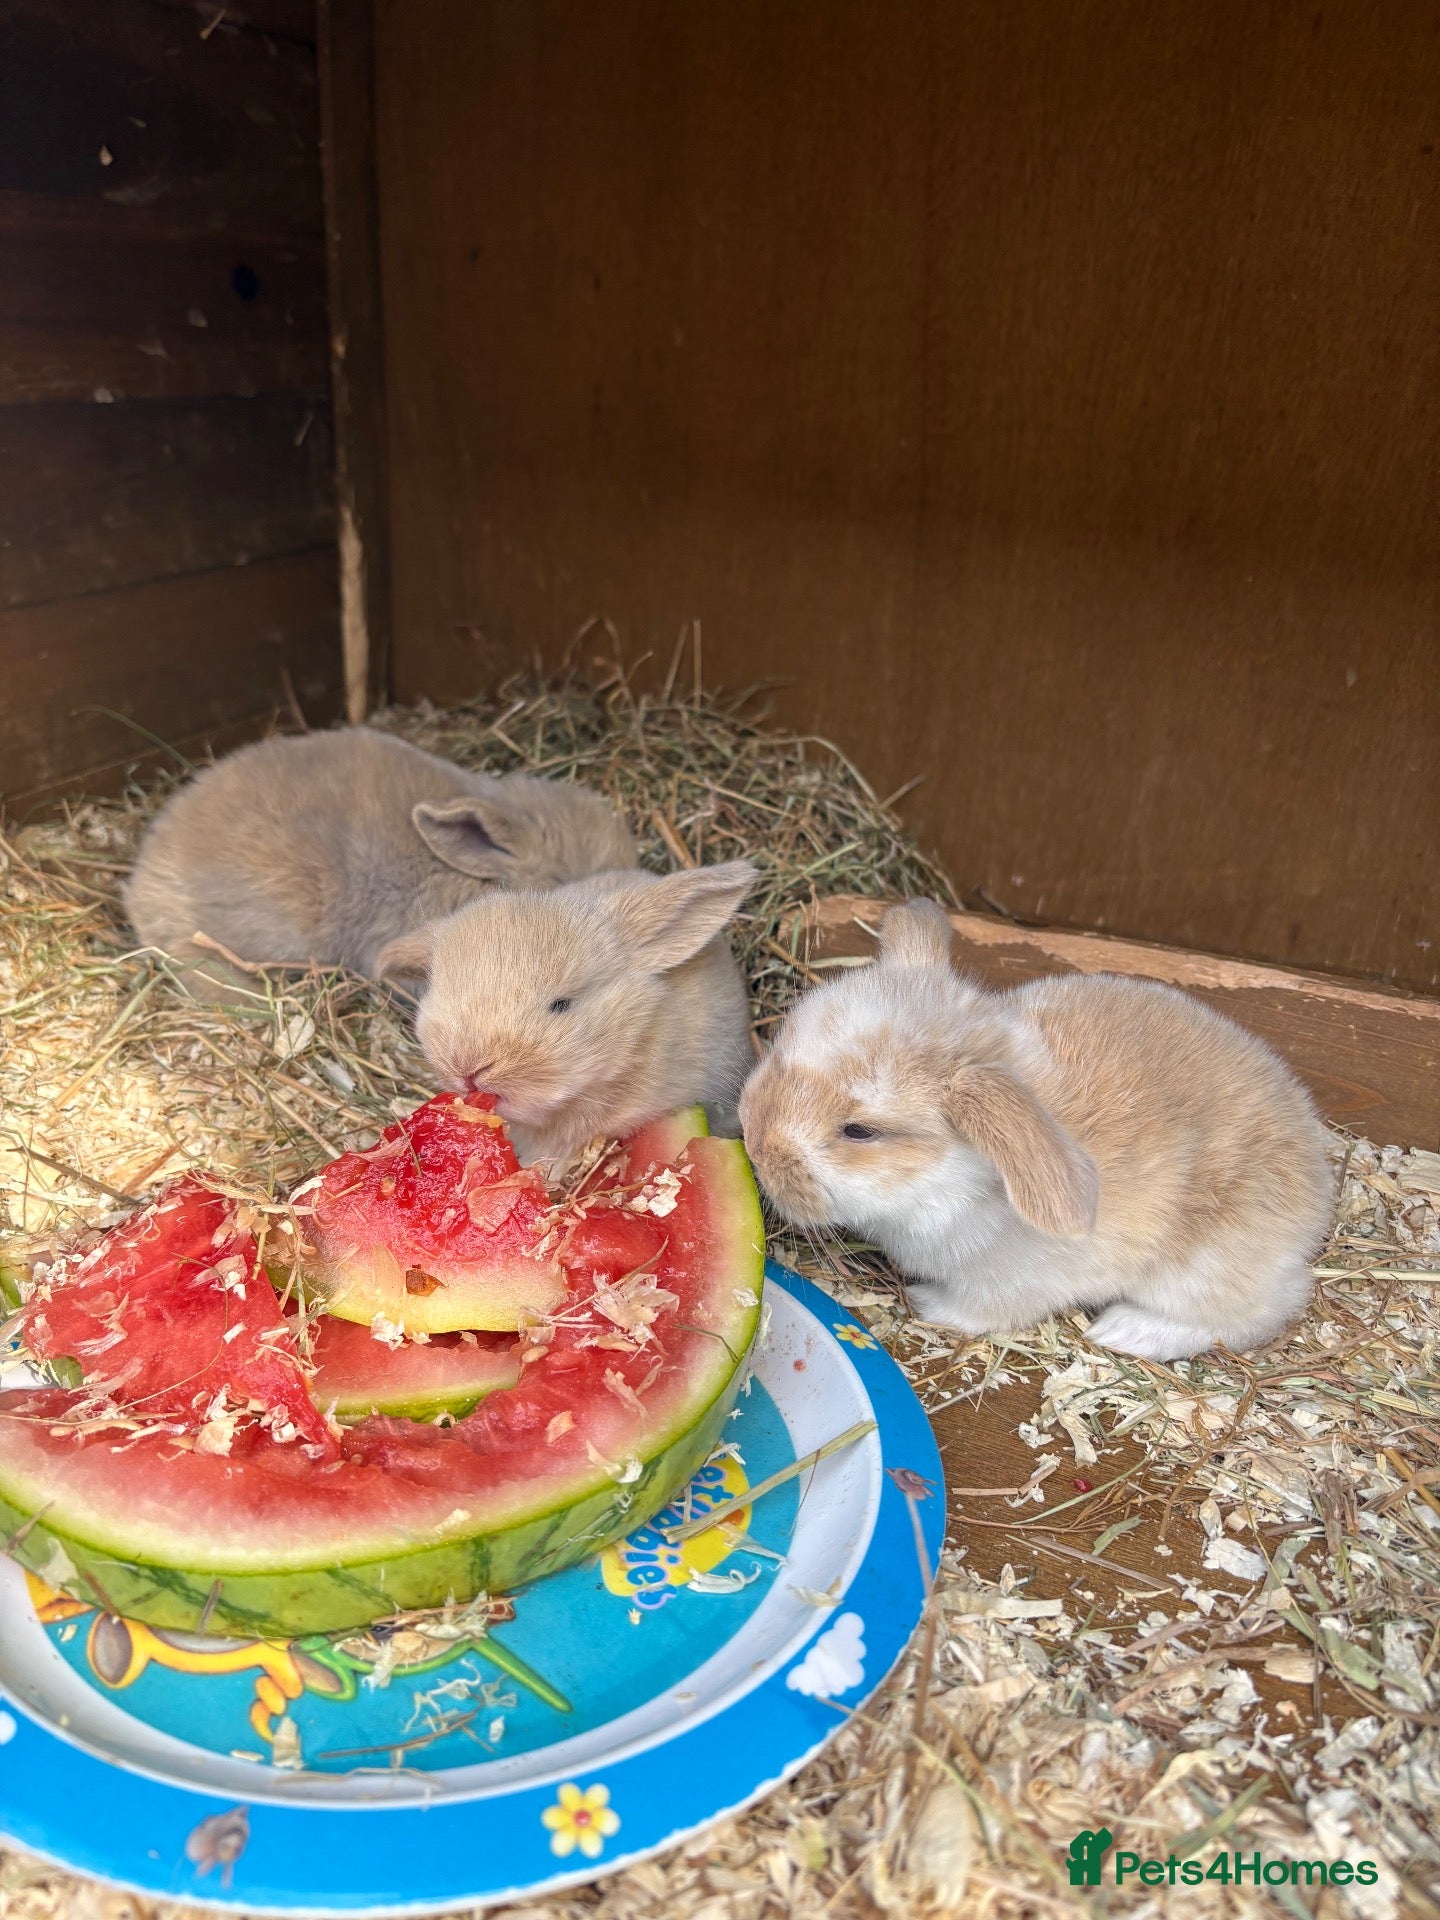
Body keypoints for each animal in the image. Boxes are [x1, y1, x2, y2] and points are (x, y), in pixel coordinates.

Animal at [739, 898, 1334, 1360]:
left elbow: (978, 1311)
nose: (754, 1142)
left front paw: (926, 1302)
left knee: (1257, 1314)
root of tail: (1319, 1184)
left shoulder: (1007, 1286)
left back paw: (1123, 1330)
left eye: (859, 1131)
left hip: (1201, 1270)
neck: (961, 1183)